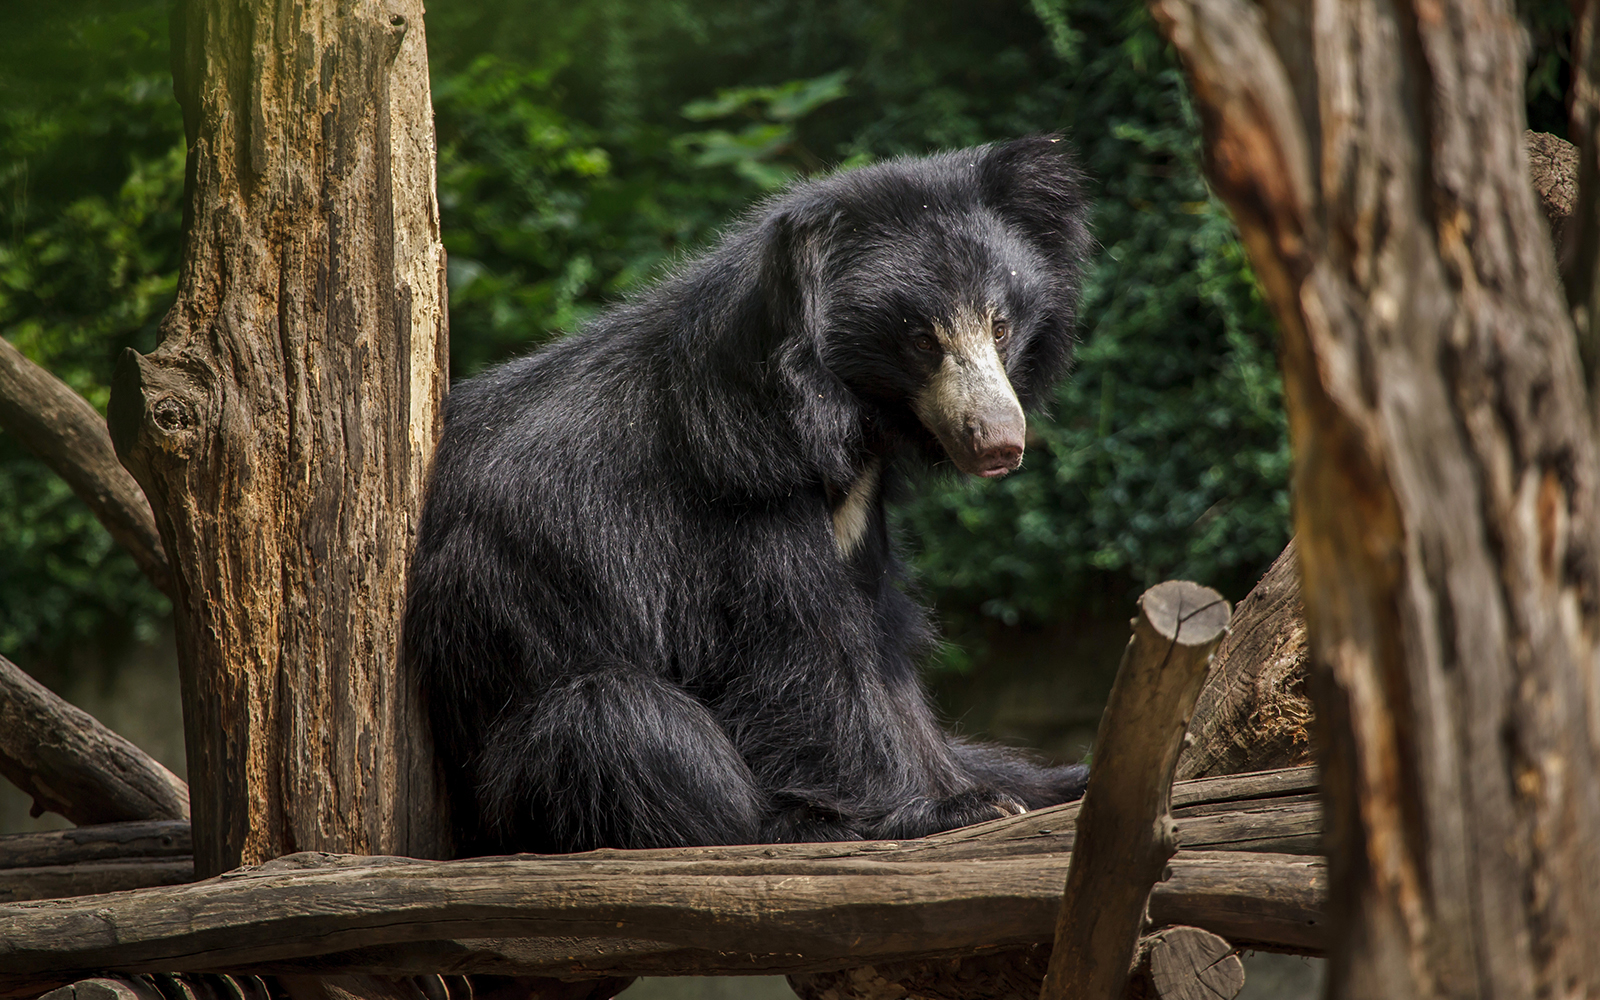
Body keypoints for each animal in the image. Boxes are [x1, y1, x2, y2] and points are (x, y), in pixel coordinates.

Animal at [403, 136, 1093, 856]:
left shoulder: (857, 520)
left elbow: (884, 658)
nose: (1000, 443)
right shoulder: (735, 502)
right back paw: (791, 822)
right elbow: (801, 661)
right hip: (510, 766)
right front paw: (952, 806)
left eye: (1000, 325)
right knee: (611, 718)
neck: (833, 419)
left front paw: (999, 785)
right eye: (921, 337)